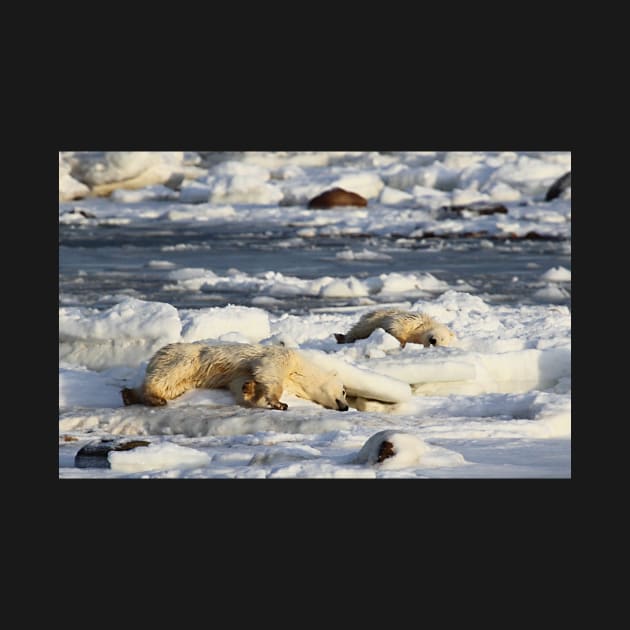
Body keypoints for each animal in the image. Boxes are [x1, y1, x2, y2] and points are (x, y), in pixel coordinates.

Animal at [121, 344, 350, 412]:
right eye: (344, 391)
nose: (346, 407)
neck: (300, 369)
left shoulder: (240, 373)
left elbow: (242, 382)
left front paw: (248, 389)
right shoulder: (281, 357)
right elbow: (270, 374)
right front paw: (280, 403)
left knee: (171, 386)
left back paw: (130, 395)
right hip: (185, 358)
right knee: (165, 377)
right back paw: (153, 398)